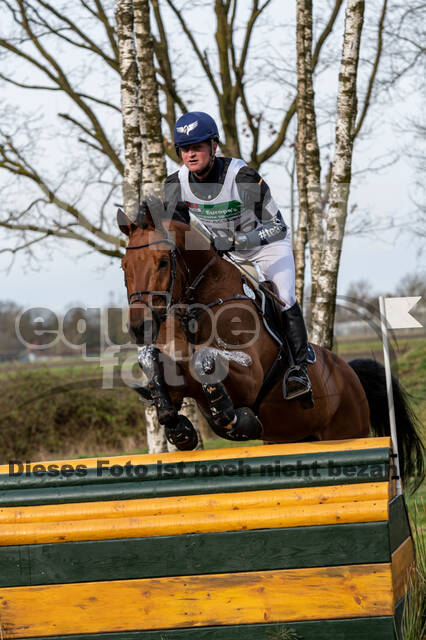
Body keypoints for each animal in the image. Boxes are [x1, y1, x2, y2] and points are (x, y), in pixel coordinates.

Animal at [116, 200, 422, 490]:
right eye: (124, 266)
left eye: (162, 262)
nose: (139, 327)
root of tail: (350, 373)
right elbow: (154, 360)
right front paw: (177, 425)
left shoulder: (249, 380)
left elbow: (204, 358)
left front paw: (233, 417)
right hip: (288, 438)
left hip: (348, 431)